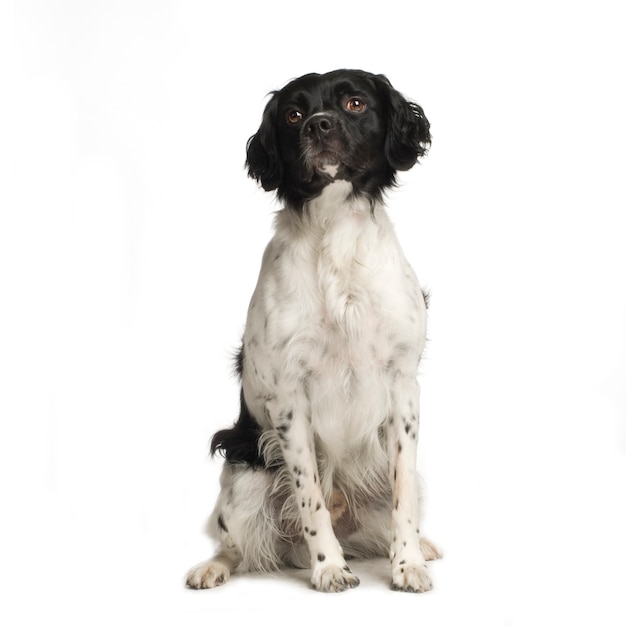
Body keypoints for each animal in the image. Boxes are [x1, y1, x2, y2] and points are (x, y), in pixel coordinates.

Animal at [185, 68, 438, 588]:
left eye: (355, 103)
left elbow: (402, 493)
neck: (336, 231)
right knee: (234, 544)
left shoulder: (403, 387)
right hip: (244, 474)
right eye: (293, 113)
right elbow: (310, 496)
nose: (318, 124)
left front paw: (408, 564)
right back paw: (214, 568)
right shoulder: (289, 397)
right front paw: (330, 568)